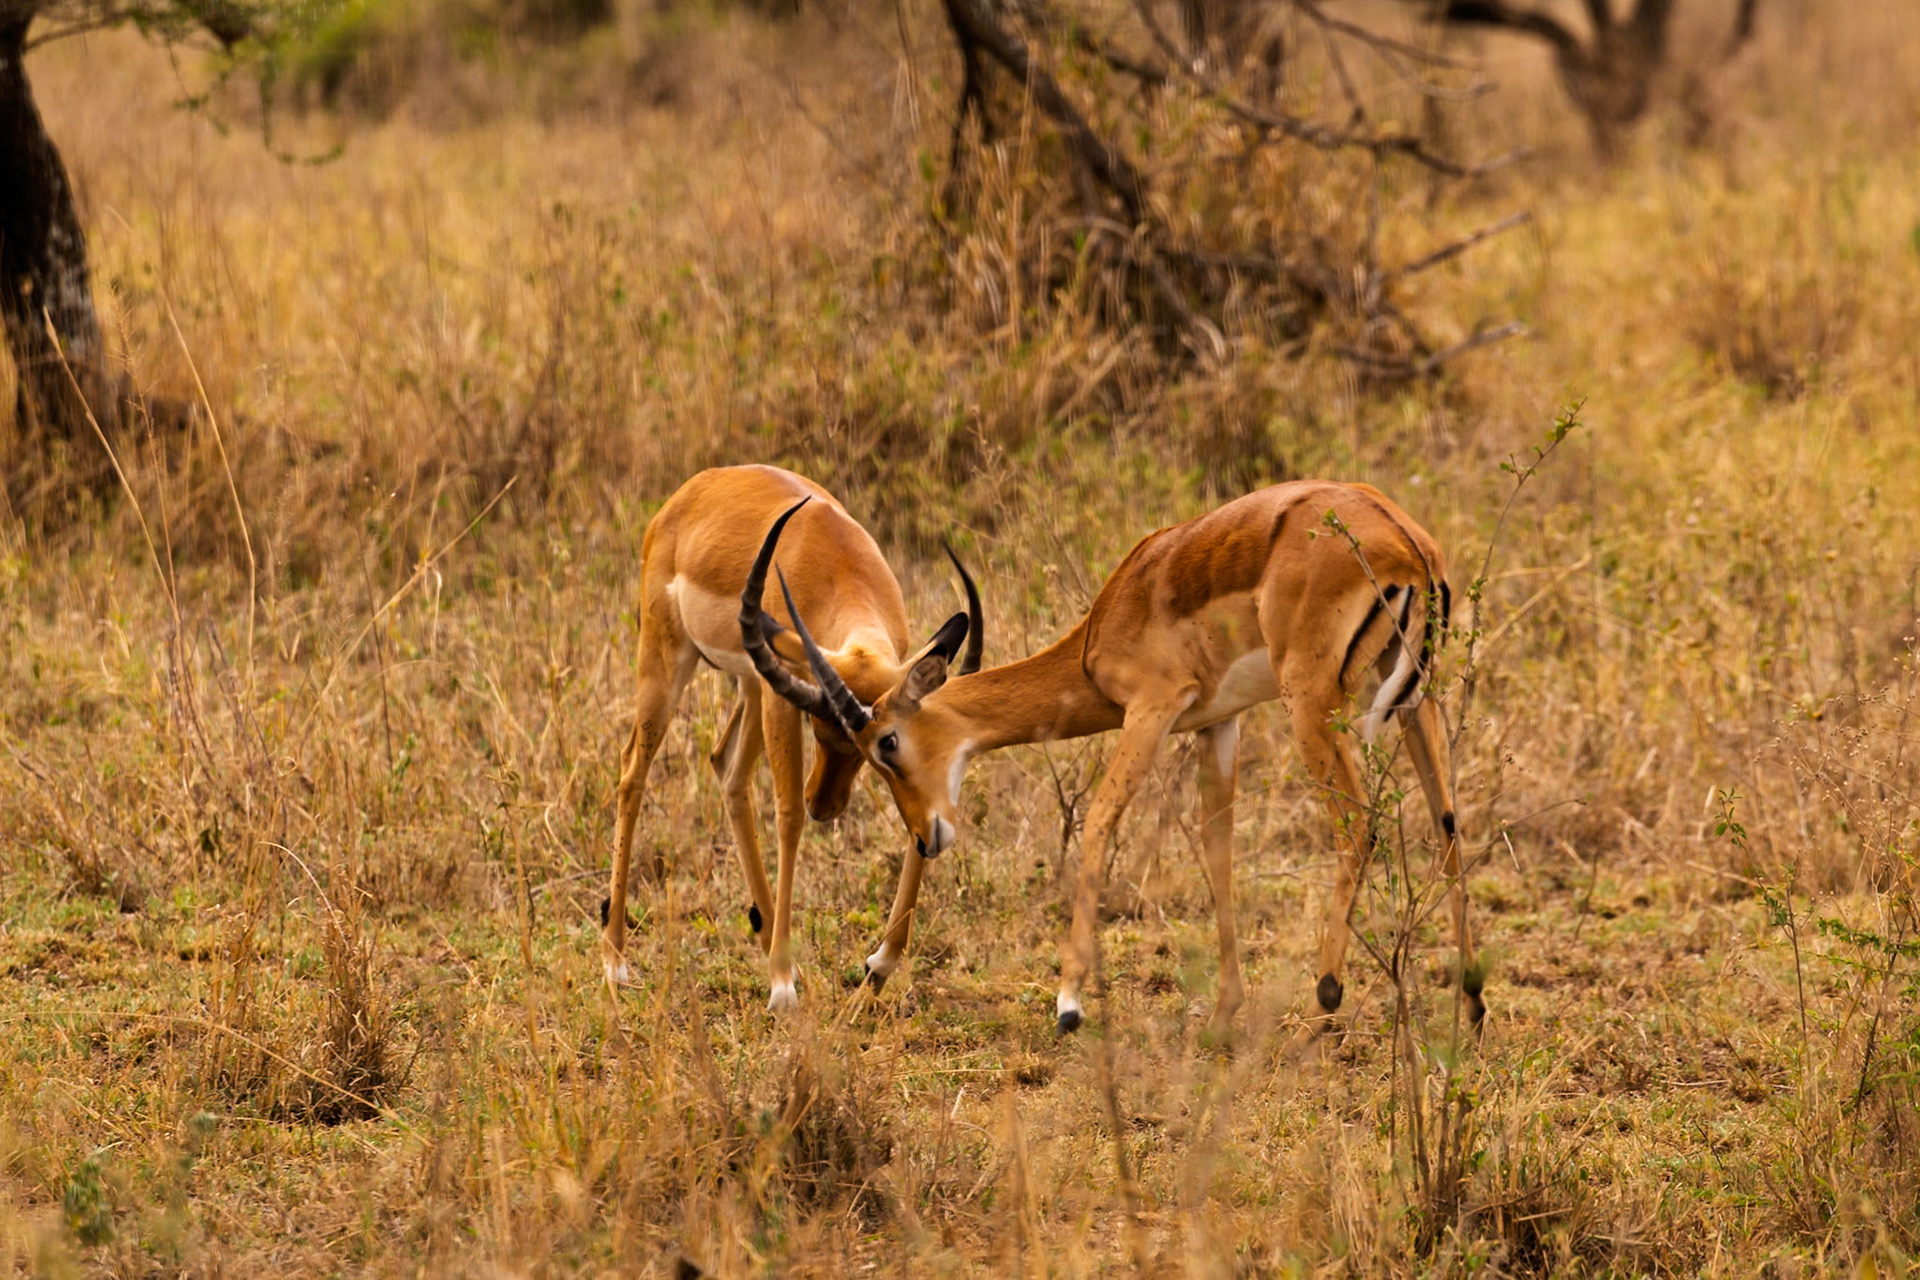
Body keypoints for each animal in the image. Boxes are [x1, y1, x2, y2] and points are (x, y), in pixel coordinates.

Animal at [604, 466, 981, 1009]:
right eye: (818, 727)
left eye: (876, 750)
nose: (824, 805)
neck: (840, 568)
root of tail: (684, 497)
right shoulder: (785, 701)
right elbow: (787, 816)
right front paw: (782, 988)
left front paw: (878, 967)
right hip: (669, 659)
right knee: (633, 771)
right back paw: (615, 961)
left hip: (750, 683)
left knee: (727, 769)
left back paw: (768, 940)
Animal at [742, 480, 1478, 1036]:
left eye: (886, 743)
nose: (927, 836)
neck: (1106, 626)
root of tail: (1404, 542)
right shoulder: (1218, 723)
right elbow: (1217, 849)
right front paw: (1225, 1013)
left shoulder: (1152, 710)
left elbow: (1099, 823)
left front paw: (1068, 1004)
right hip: (1417, 697)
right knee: (1446, 819)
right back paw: (1470, 1002)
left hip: (1312, 702)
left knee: (1359, 825)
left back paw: (1324, 1004)